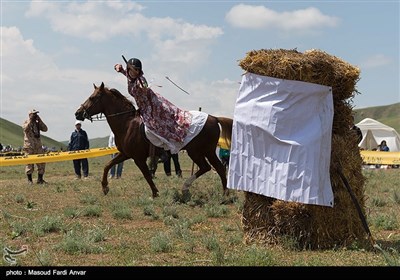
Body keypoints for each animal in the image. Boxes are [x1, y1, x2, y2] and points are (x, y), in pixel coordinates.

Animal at [74, 82, 233, 200]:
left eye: (93, 98)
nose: (78, 113)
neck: (127, 124)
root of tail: (214, 118)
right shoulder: (125, 154)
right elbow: (107, 165)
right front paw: (105, 187)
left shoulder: (138, 158)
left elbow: (147, 175)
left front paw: (155, 193)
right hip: (204, 151)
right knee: (215, 168)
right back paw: (221, 193)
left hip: (198, 151)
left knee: (210, 167)